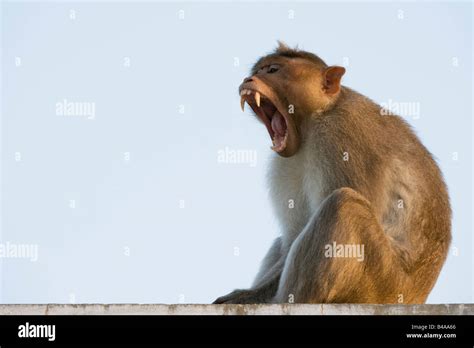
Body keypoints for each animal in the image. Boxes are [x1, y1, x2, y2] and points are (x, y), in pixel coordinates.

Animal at [214, 42, 452, 304]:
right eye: (258, 70)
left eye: (273, 70)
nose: (249, 79)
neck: (316, 117)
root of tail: (417, 295)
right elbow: (293, 235)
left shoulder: (341, 136)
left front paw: (250, 296)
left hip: (380, 282)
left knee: (343, 204)